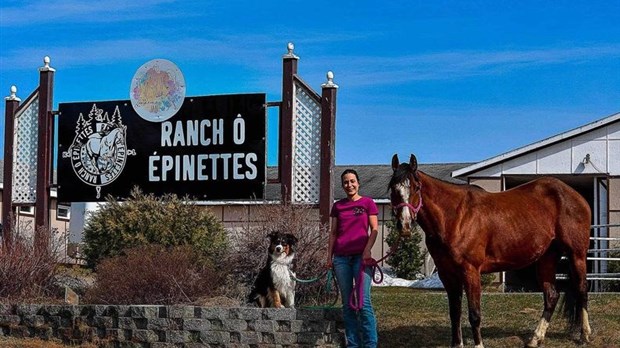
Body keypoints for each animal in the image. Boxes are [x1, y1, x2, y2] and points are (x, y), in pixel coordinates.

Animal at [390, 155, 592, 348]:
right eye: (393, 188)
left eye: (416, 187)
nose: (404, 225)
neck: (454, 217)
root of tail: (575, 196)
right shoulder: (447, 274)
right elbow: (455, 313)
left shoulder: (470, 271)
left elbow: (474, 314)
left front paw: (479, 344)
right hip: (546, 258)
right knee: (551, 296)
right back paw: (535, 339)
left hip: (577, 255)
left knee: (582, 289)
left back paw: (585, 335)